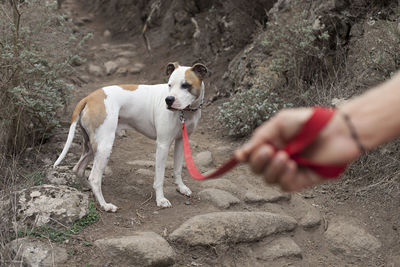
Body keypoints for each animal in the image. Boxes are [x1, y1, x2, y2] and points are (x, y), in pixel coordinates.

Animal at [53, 62, 208, 211]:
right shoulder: (163, 145)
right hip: (104, 147)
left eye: (186, 85)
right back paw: (105, 205)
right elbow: (159, 178)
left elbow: (177, 169)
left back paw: (87, 188)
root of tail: (89, 97)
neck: (186, 112)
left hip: (92, 147)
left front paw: (181, 188)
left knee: (78, 168)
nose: (169, 100)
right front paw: (161, 200)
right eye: (169, 85)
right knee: (94, 178)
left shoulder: (181, 141)